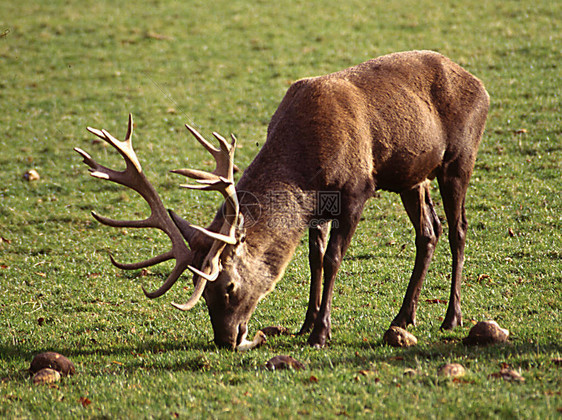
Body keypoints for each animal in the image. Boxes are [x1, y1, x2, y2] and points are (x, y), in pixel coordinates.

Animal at [74, 50, 486, 350]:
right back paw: (404, 317)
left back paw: (451, 317)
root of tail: (479, 84)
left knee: (458, 230)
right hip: (412, 176)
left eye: (228, 286)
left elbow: (333, 259)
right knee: (428, 231)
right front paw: (305, 323)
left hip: (460, 158)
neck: (303, 166)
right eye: (201, 290)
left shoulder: (356, 189)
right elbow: (314, 258)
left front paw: (321, 333)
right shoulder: (319, 207)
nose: (226, 340)